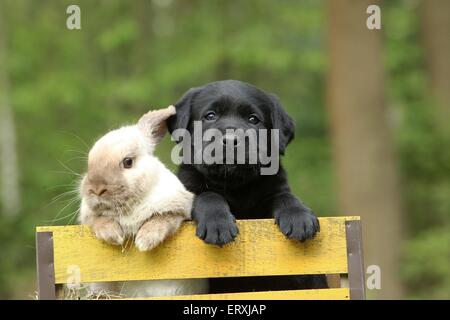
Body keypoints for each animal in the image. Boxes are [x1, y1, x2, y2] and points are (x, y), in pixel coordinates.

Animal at [78, 106, 208, 298]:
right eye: (89, 162)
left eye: (128, 162)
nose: (96, 189)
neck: (129, 208)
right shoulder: (91, 218)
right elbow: (100, 220)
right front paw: (114, 235)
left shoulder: (178, 210)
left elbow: (161, 219)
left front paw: (144, 241)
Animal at [167, 80, 326, 292]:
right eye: (210, 116)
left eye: (253, 119)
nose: (231, 140)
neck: (234, 184)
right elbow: (207, 195)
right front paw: (217, 224)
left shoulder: (274, 188)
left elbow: (285, 196)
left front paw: (299, 217)